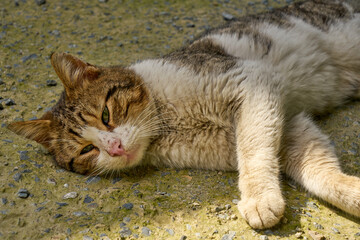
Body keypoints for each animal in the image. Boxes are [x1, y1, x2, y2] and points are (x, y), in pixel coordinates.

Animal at [7, 0, 360, 230]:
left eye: (106, 115)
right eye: (86, 150)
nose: (115, 148)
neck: (170, 126)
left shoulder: (251, 83)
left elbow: (253, 150)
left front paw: (259, 199)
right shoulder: (288, 125)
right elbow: (319, 172)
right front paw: (352, 192)